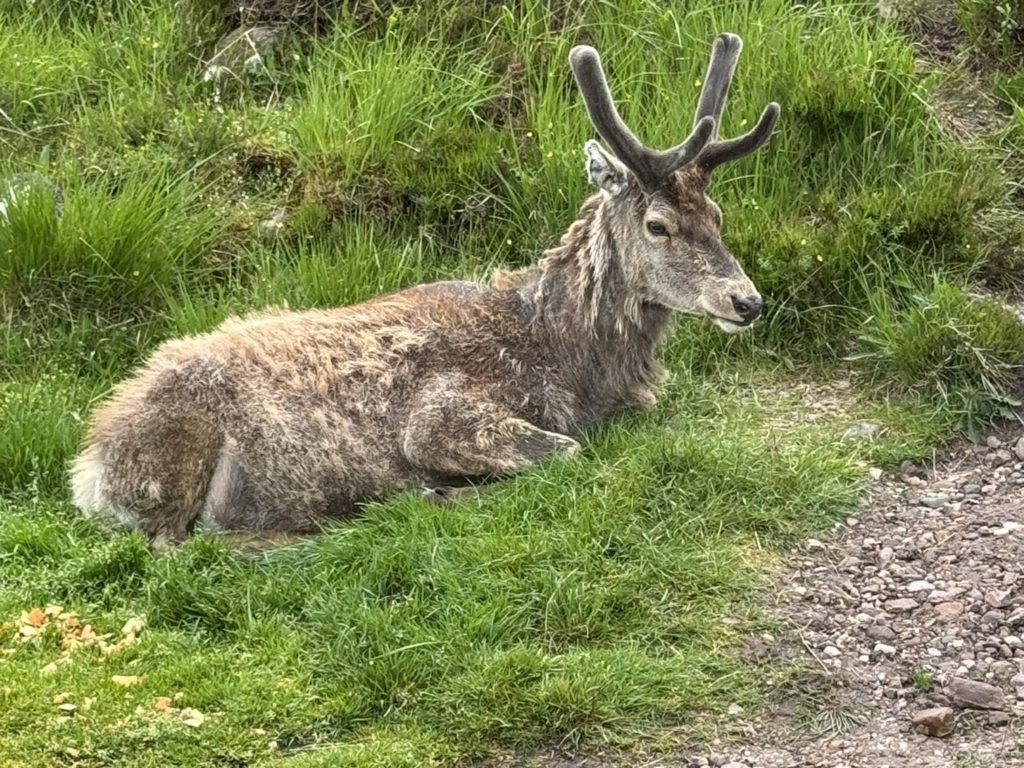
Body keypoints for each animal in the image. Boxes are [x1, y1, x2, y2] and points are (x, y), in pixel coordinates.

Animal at [70, 33, 774, 544]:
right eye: (658, 224)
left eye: (718, 216)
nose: (748, 301)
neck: (568, 360)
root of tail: (88, 469)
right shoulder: (436, 416)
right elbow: (567, 451)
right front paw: (439, 488)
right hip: (177, 463)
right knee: (179, 544)